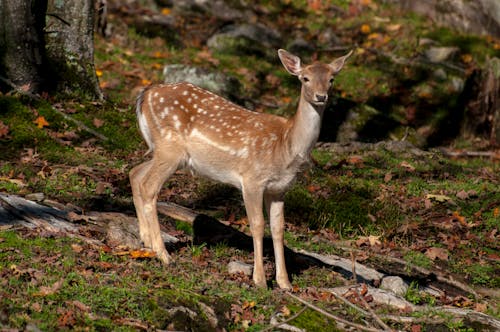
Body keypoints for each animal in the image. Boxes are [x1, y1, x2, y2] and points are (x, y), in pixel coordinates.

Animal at [131, 48, 354, 290]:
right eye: (305, 78)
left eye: (332, 79)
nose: (321, 96)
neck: (285, 146)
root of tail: (146, 93)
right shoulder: (252, 180)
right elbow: (257, 225)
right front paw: (260, 280)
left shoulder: (279, 189)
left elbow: (278, 229)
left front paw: (284, 283)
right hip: (170, 148)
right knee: (149, 186)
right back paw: (163, 254)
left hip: (165, 151)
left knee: (135, 173)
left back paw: (146, 241)